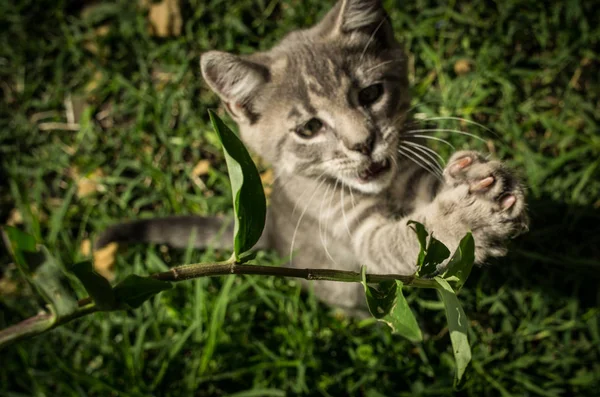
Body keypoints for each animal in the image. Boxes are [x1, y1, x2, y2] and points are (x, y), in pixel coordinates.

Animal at [97, 0, 524, 310]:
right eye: (309, 129)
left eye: (371, 93)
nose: (363, 142)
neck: (383, 190)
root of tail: (270, 231)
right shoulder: (352, 231)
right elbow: (400, 243)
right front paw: (464, 220)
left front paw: (475, 177)